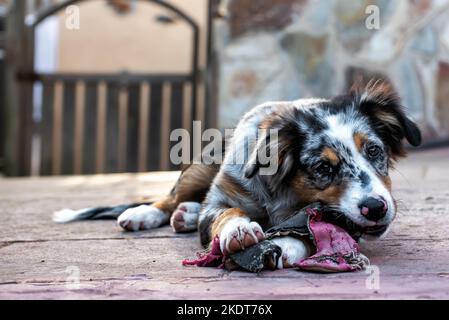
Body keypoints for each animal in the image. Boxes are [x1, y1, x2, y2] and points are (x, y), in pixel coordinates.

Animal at [54, 81, 422, 268]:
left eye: (374, 151)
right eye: (323, 167)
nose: (376, 208)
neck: (283, 192)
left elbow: (313, 230)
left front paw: (287, 245)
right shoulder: (220, 199)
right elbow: (226, 212)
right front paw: (240, 230)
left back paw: (185, 215)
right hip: (200, 165)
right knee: (171, 197)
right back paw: (147, 213)